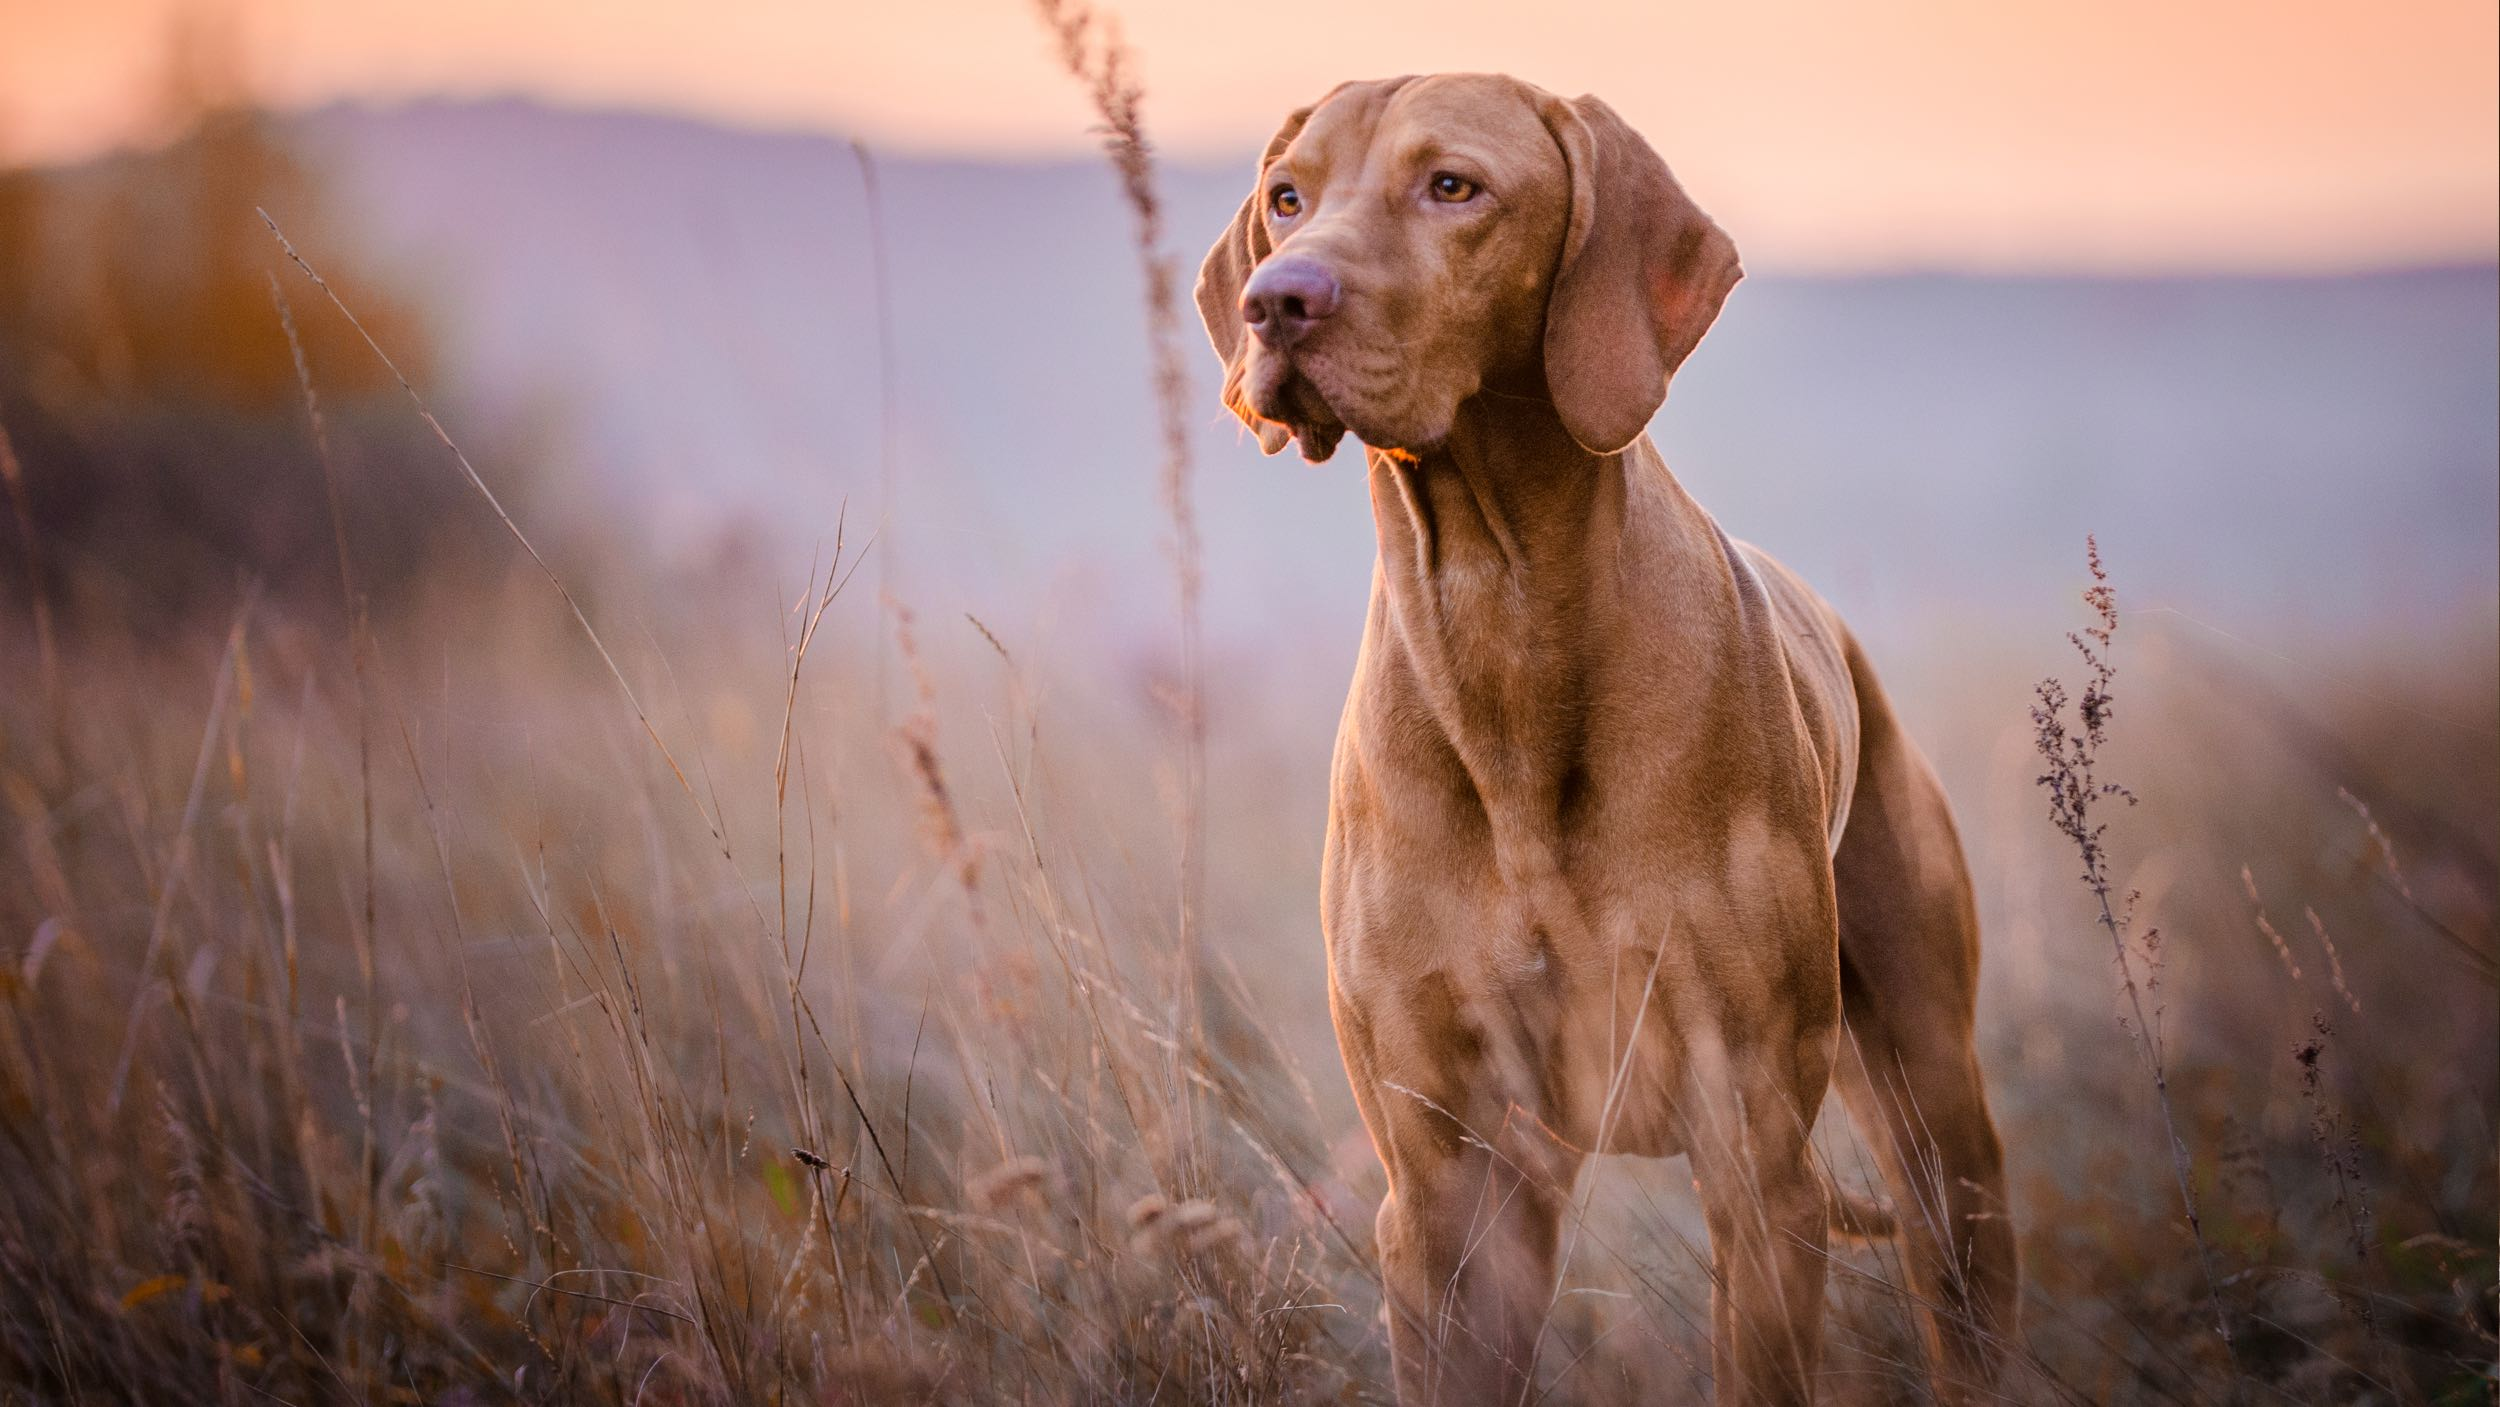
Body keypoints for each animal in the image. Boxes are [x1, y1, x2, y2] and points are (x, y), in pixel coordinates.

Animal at [1195, 77, 2030, 1407]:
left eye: (1453, 186)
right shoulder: (1446, 1189)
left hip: (1936, 1116)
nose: (1277, 300)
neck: (1498, 626)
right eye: (1287, 197)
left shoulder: (1755, 1158)